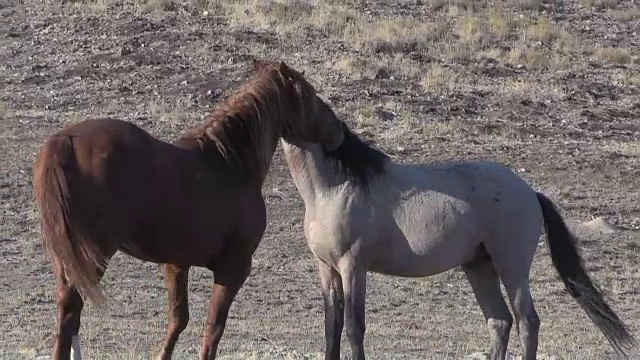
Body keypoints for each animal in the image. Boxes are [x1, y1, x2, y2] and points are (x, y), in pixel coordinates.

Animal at [31, 59, 344, 360]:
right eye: (309, 94)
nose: (338, 131)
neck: (228, 164)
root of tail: (64, 141)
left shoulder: (176, 264)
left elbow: (178, 319)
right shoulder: (234, 268)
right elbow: (214, 326)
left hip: (66, 256)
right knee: (71, 311)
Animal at [282, 121, 636, 360]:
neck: (336, 186)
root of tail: (530, 192)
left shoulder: (353, 267)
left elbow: (354, 327)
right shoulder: (327, 268)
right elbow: (332, 324)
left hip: (511, 267)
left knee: (527, 321)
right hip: (479, 268)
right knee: (500, 321)